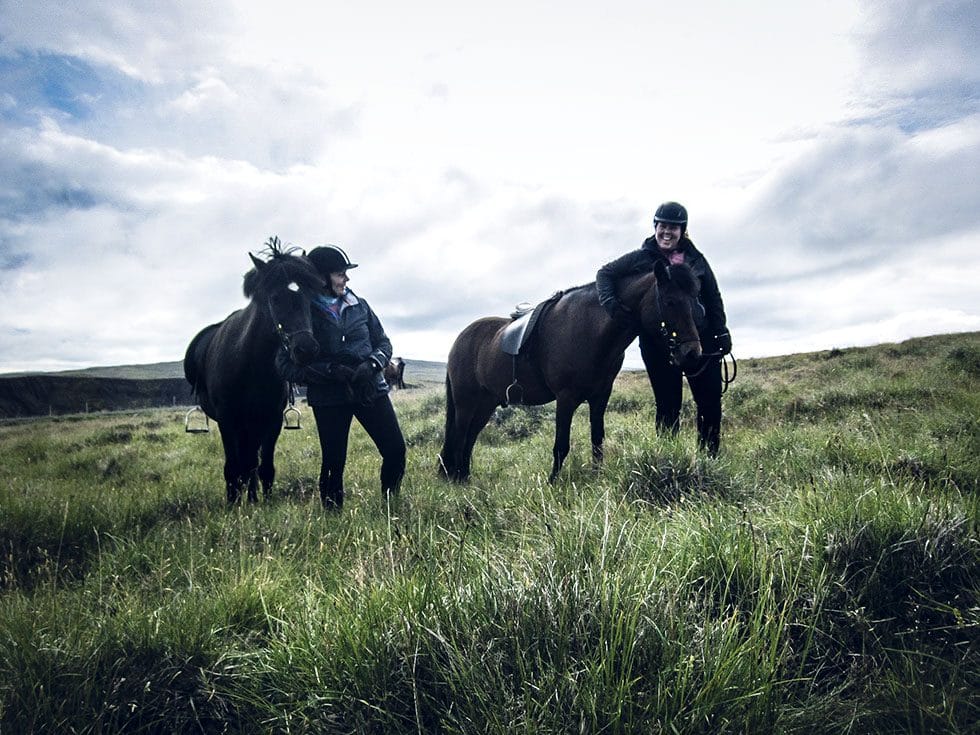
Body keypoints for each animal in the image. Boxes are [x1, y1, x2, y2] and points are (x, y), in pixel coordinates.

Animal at [182, 239, 324, 504]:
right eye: (275, 299)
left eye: (310, 298)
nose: (307, 350)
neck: (250, 365)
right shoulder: (228, 420)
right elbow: (233, 467)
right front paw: (233, 503)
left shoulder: (271, 420)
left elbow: (264, 466)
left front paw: (262, 502)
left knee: (251, 461)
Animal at [440, 260, 700, 484]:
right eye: (670, 301)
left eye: (695, 301)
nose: (692, 353)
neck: (590, 330)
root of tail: (460, 339)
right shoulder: (566, 398)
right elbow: (561, 445)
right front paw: (552, 483)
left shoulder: (600, 398)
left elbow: (597, 440)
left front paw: (597, 477)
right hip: (466, 402)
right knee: (460, 434)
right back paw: (457, 479)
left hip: (486, 403)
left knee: (470, 436)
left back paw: (464, 477)